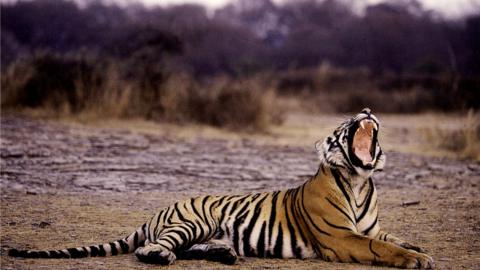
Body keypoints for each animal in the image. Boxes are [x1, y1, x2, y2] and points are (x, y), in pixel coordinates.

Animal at [8, 108, 436, 268]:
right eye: (344, 123)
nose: (366, 110)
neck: (360, 181)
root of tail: (157, 211)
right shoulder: (342, 238)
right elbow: (379, 247)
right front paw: (418, 259)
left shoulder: (371, 227)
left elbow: (390, 236)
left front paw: (417, 247)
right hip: (193, 221)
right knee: (154, 248)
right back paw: (162, 256)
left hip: (206, 230)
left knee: (192, 248)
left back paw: (225, 254)